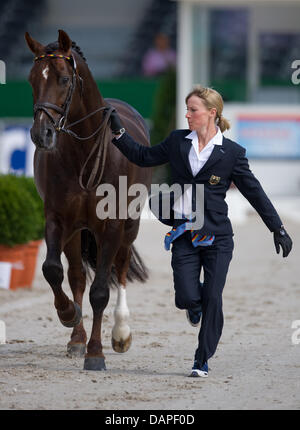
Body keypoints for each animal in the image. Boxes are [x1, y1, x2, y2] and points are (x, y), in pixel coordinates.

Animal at [24, 29, 151, 370]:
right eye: (32, 79)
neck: (83, 152)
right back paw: (76, 338)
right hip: (77, 232)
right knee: (77, 277)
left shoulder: (112, 227)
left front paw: (97, 353)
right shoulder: (57, 219)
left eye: (65, 79)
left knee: (120, 270)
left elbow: (101, 291)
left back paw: (120, 333)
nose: (42, 134)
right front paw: (69, 315)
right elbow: (53, 271)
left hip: (129, 227)